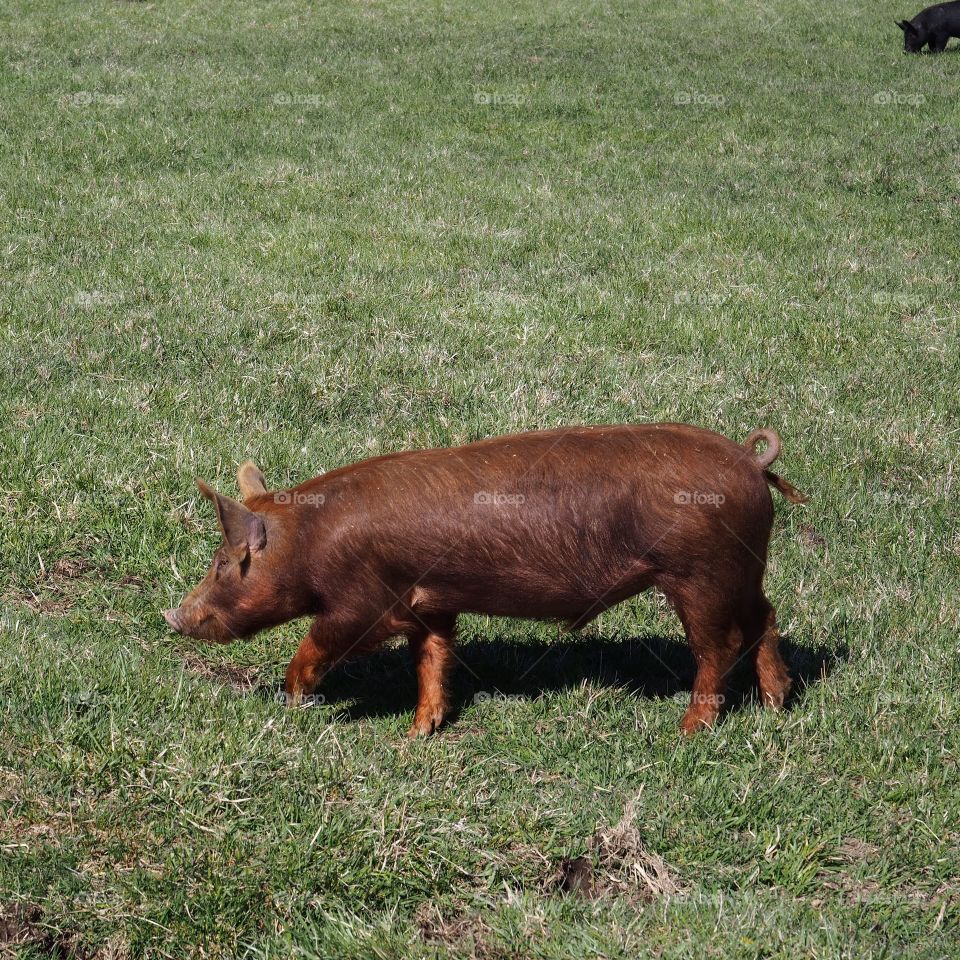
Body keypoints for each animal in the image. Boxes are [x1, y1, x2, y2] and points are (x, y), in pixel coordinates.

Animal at [163, 424, 804, 740]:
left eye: (223, 564)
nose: (173, 615)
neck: (310, 539)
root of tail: (752, 462)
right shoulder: (430, 602)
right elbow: (432, 657)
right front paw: (419, 734)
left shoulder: (366, 602)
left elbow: (321, 641)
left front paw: (295, 696)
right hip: (743, 568)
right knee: (766, 617)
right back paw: (777, 703)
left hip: (699, 574)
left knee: (718, 645)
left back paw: (689, 731)